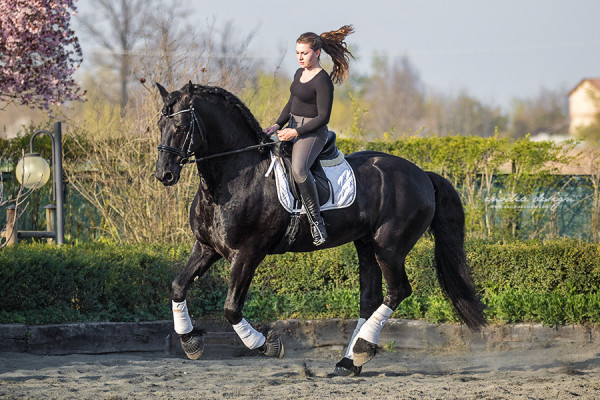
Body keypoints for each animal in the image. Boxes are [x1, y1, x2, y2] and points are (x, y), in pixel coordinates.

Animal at [155, 81, 488, 376]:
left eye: (181, 127)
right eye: (160, 124)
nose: (164, 175)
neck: (234, 177)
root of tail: (422, 174)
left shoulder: (248, 253)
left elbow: (231, 308)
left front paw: (267, 345)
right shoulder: (206, 247)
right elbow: (177, 286)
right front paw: (190, 341)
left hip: (389, 247)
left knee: (398, 291)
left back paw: (362, 349)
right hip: (366, 245)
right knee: (370, 299)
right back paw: (349, 362)